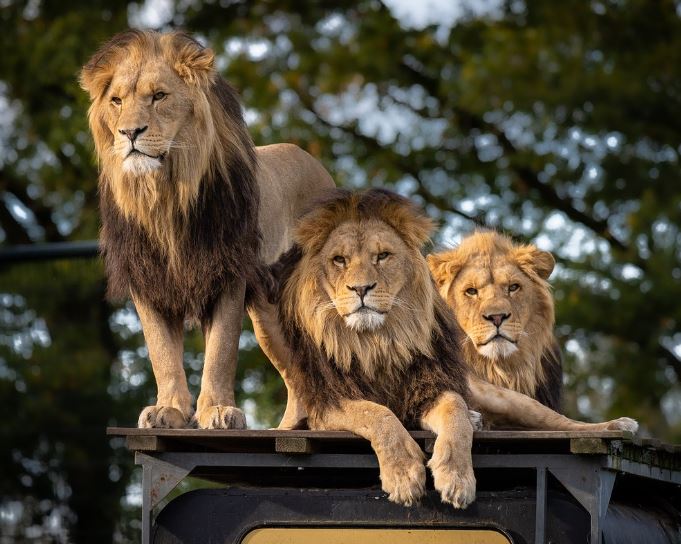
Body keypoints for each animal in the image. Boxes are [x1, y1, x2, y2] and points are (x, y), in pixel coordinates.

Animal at [79, 29, 334, 429]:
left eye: (159, 96)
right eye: (117, 101)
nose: (129, 132)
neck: (165, 197)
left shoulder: (228, 272)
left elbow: (221, 350)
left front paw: (217, 410)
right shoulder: (147, 279)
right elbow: (161, 353)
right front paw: (168, 409)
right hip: (268, 316)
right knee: (297, 374)